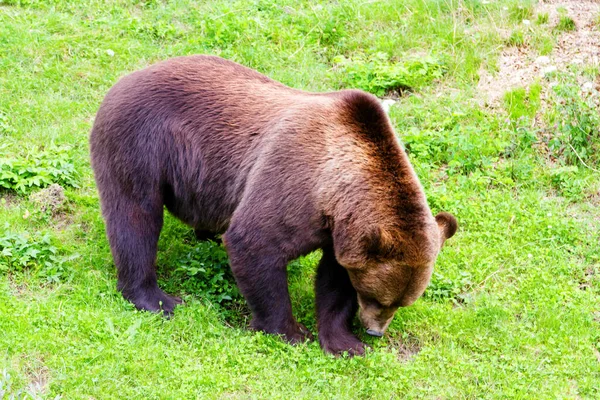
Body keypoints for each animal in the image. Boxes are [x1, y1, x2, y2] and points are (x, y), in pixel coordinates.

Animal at [88, 54, 454, 356]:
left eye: (401, 303)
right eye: (379, 298)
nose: (375, 331)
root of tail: (127, 77)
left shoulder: (339, 232)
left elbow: (334, 279)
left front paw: (344, 343)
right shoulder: (294, 184)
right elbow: (255, 244)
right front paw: (292, 332)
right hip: (141, 141)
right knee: (135, 216)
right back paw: (156, 299)